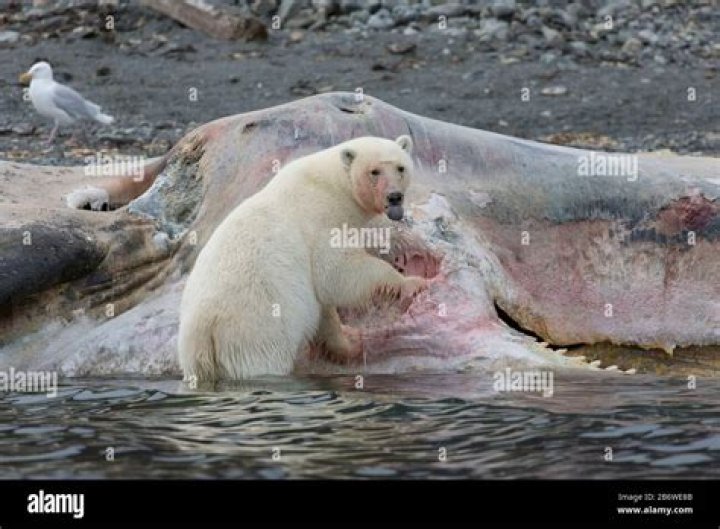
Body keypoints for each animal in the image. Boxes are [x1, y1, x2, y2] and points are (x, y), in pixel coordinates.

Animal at [177, 135, 427, 381]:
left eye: (400, 167)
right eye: (374, 171)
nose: (394, 197)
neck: (332, 185)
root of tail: (203, 333)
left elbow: (323, 308)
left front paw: (348, 342)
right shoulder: (322, 218)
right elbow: (335, 273)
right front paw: (411, 282)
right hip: (251, 331)